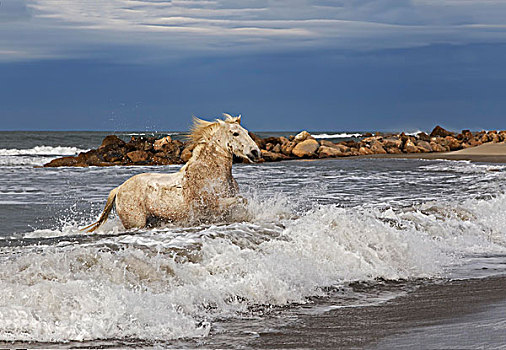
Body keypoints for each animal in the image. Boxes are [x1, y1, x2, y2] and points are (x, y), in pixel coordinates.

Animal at [82, 113, 260, 231]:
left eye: (246, 132)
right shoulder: (212, 205)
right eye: (235, 133)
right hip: (135, 223)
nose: (255, 152)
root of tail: (119, 189)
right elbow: (241, 200)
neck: (209, 173)